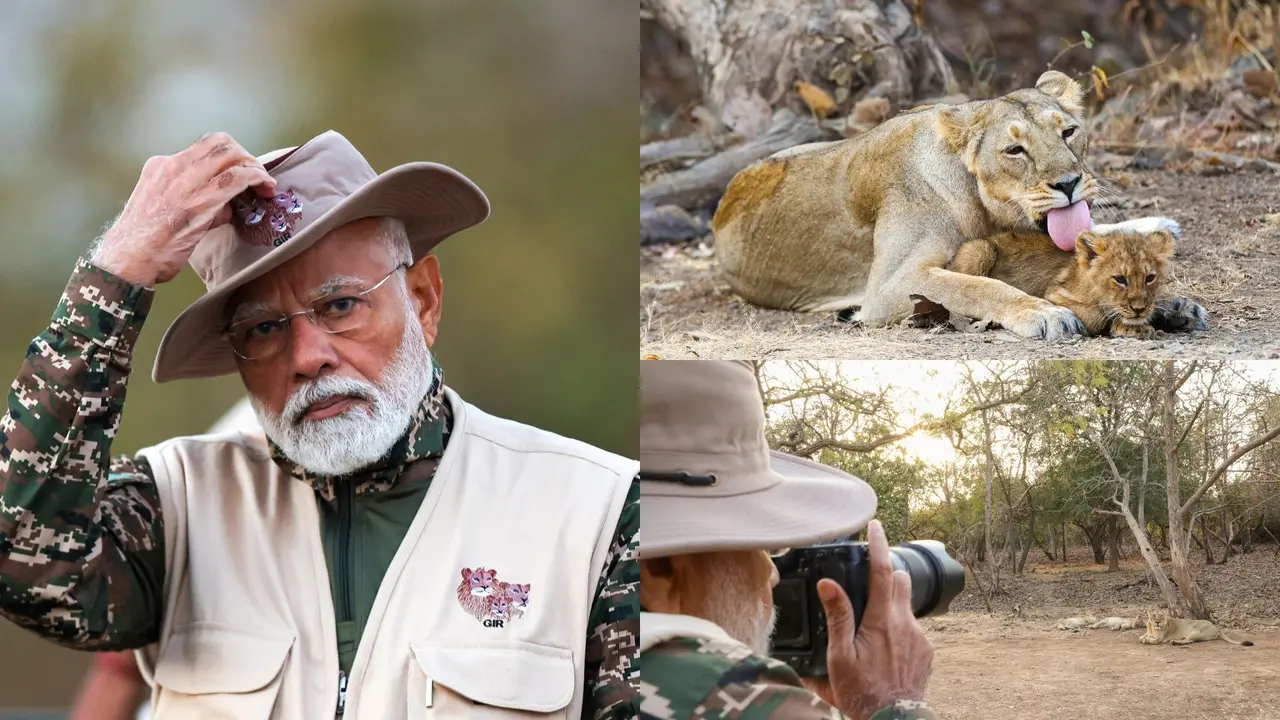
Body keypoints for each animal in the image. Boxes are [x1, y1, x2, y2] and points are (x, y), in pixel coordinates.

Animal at [948, 217, 1203, 338]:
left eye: (1150, 278)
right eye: (1120, 279)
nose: (1140, 309)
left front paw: (1178, 310)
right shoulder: (1054, 295)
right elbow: (1095, 316)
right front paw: (1131, 327)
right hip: (979, 250)